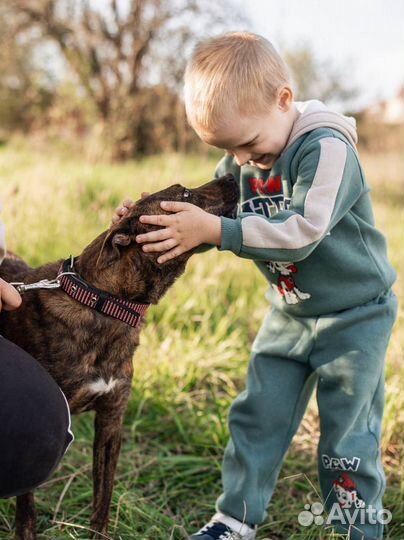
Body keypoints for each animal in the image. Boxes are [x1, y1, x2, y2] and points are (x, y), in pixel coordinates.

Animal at [0, 175, 238, 536]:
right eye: (184, 193)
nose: (232, 177)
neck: (102, 301)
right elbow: (27, 503)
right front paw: (25, 532)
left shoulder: (111, 422)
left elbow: (103, 500)